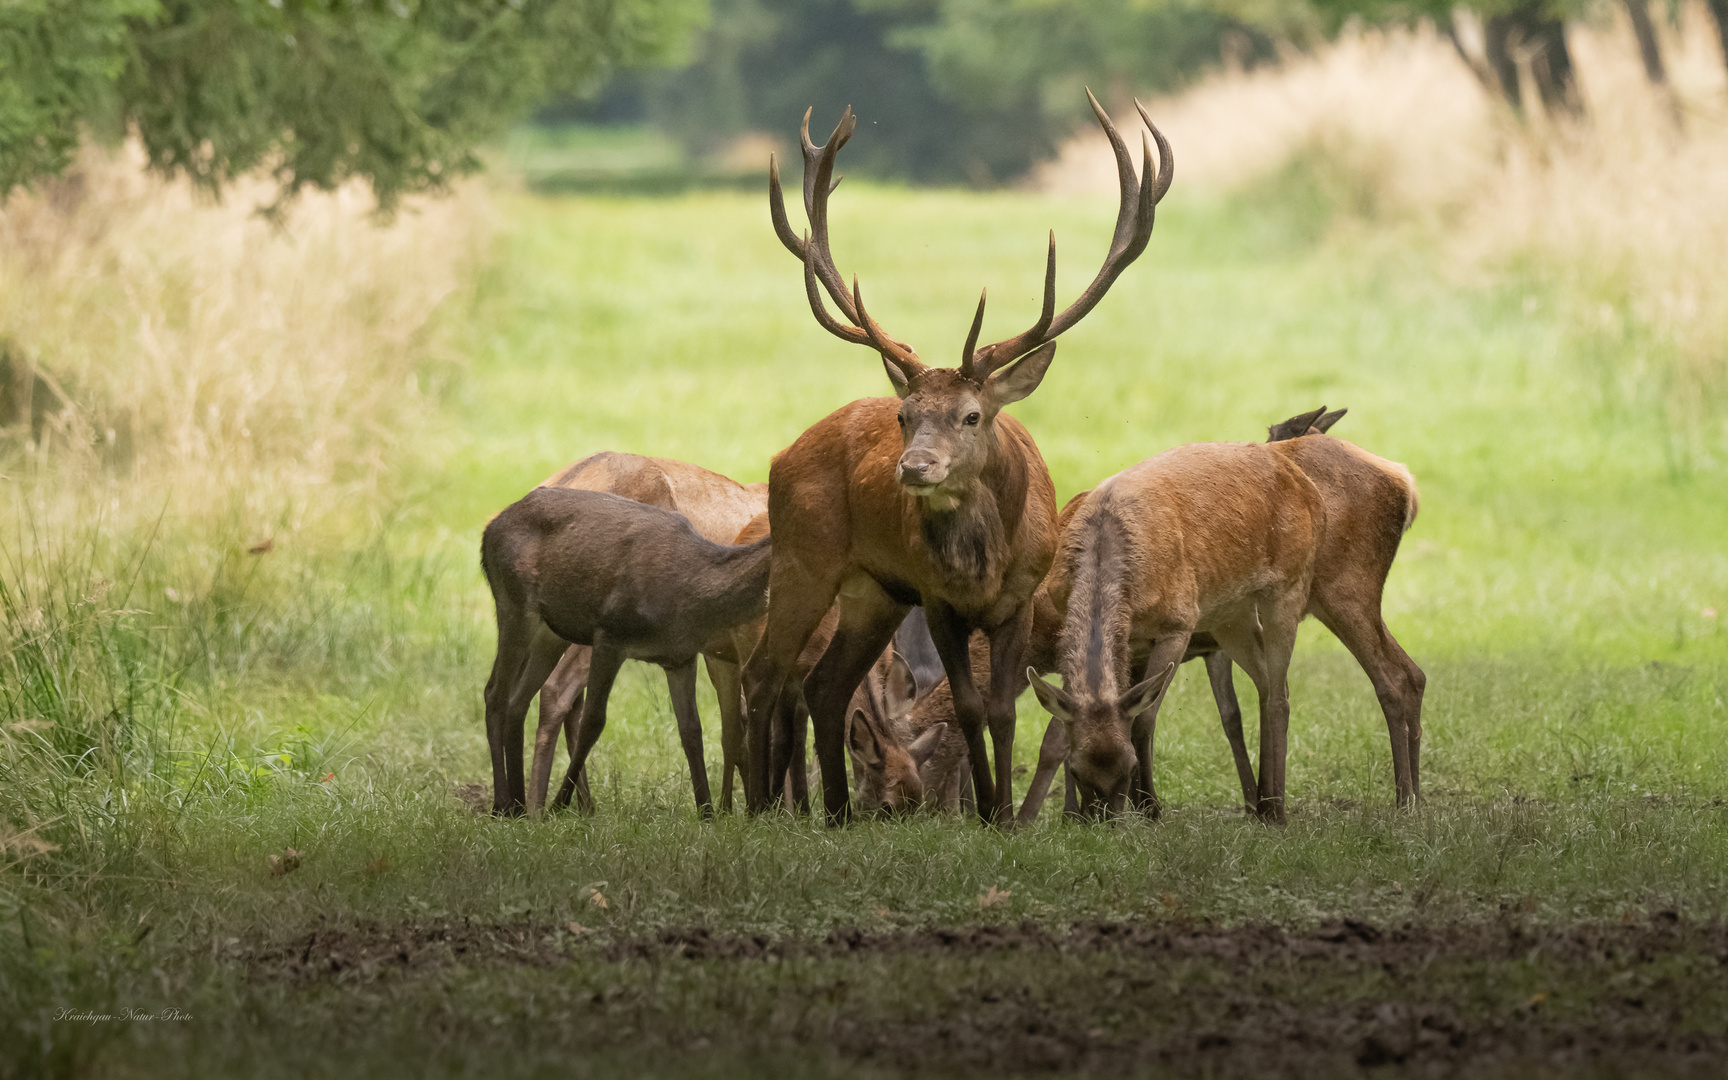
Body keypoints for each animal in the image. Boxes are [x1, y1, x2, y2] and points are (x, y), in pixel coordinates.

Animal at [476, 483, 767, 812]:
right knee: (495, 693)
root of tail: (489, 530)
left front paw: (706, 812)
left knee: (518, 701)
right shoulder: (610, 634)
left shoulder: (680, 656)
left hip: (552, 632)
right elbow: (593, 721)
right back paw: (502, 803)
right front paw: (558, 806)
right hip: (512, 603)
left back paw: (519, 805)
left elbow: (692, 730)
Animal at [743, 92, 1175, 822]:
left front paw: (999, 814)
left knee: (825, 684)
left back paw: (835, 813)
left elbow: (1003, 710)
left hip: (874, 592)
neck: (982, 569)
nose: (914, 468)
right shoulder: (935, 598)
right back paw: (756, 807)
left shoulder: (1021, 596)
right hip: (804, 557)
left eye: (972, 416)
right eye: (905, 416)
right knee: (765, 676)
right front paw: (988, 809)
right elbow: (970, 707)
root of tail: (784, 455)